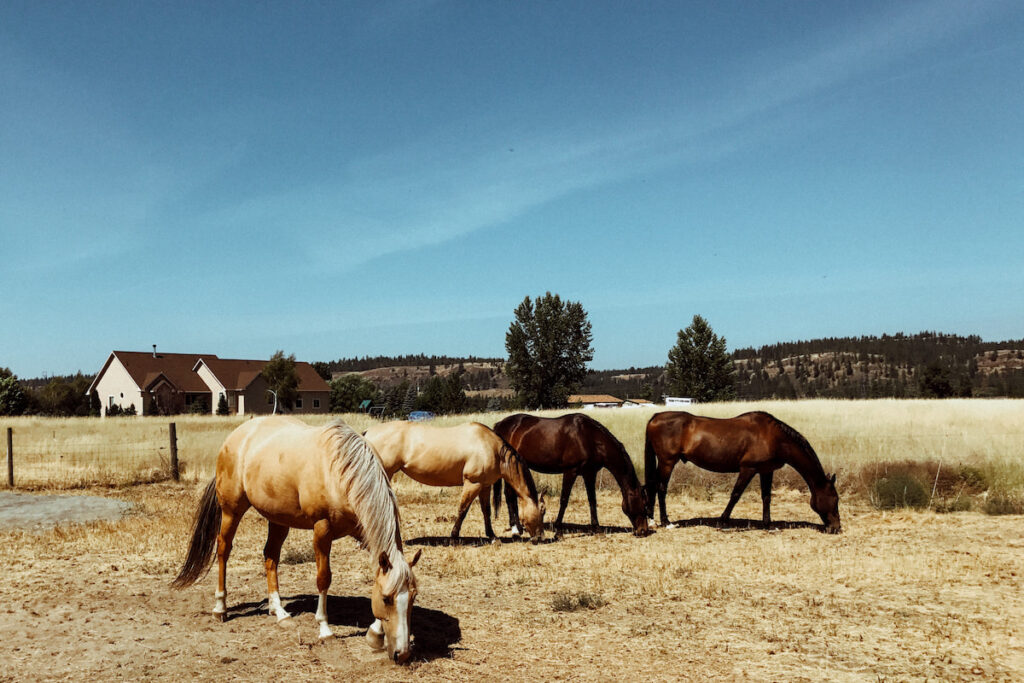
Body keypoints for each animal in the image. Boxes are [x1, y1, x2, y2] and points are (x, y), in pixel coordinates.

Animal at [174, 413, 421, 663]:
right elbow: (323, 578)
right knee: (224, 549)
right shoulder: (322, 529)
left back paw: (279, 612)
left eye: (413, 597)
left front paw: (375, 634)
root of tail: (237, 435)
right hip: (231, 510)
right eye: (386, 599)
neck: (341, 471)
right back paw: (220, 608)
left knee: (270, 556)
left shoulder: (362, 531)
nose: (402, 654)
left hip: (278, 519)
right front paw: (325, 629)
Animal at [364, 421, 548, 544]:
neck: (492, 448)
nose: (540, 537)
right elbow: (463, 510)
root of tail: (368, 432)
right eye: (543, 510)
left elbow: (486, 511)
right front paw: (453, 537)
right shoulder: (472, 483)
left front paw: (492, 536)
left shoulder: (485, 486)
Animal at [493, 413, 647, 536]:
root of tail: (500, 425)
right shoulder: (570, 472)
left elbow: (592, 500)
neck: (589, 438)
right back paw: (516, 528)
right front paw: (558, 529)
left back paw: (517, 527)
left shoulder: (589, 474)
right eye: (643, 503)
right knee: (510, 496)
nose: (643, 530)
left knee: (510, 495)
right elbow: (564, 500)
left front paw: (596, 528)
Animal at [643, 411, 843, 532]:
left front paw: (768, 524)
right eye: (835, 499)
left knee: (652, 486)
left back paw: (652, 519)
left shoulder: (766, 471)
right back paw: (666, 522)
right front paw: (723, 520)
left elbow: (766, 497)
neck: (775, 438)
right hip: (667, 462)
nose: (836, 527)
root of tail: (655, 417)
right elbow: (736, 494)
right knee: (660, 488)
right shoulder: (748, 468)